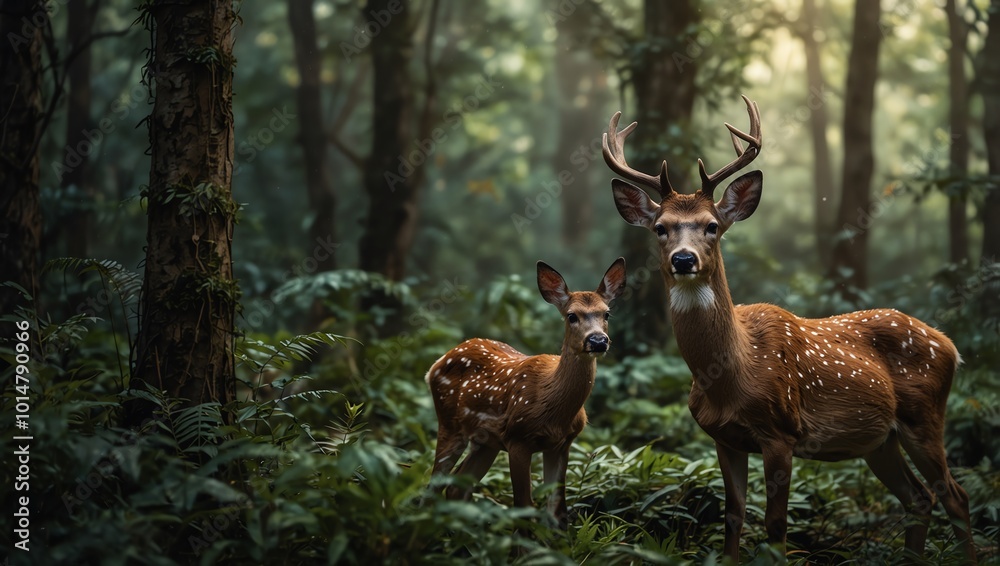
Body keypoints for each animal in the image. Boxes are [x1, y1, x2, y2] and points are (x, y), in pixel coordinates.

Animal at [425, 258, 626, 527]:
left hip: (485, 442)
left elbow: (557, 510)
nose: (597, 340)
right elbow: (523, 507)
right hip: (449, 422)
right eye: (572, 316)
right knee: (433, 485)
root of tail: (436, 364)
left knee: (456, 487)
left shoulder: (561, 444)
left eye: (607, 313)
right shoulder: (517, 438)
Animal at [601, 96, 976, 563]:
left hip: (923, 415)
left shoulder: (781, 432)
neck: (732, 373)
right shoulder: (724, 438)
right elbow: (733, 517)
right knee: (920, 498)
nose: (684, 259)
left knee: (956, 495)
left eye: (712, 225)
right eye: (659, 228)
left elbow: (776, 524)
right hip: (880, 441)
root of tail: (950, 346)